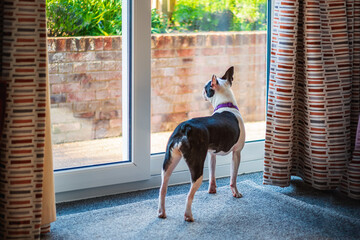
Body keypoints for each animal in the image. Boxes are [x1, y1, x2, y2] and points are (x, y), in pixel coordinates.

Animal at [157, 66, 245, 222]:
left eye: (205, 87)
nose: (202, 91)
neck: (226, 105)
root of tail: (185, 127)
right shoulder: (237, 153)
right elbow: (233, 178)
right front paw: (236, 193)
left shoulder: (211, 154)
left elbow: (212, 174)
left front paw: (212, 190)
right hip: (196, 165)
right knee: (189, 195)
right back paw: (188, 215)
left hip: (169, 162)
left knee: (163, 188)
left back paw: (162, 212)